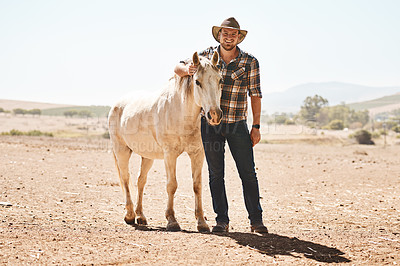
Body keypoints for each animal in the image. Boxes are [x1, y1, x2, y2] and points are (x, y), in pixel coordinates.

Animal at [108, 51, 223, 231]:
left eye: (220, 80)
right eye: (197, 81)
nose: (215, 115)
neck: (180, 113)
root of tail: (117, 104)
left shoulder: (197, 154)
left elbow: (197, 185)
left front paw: (201, 222)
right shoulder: (170, 155)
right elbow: (172, 185)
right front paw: (172, 220)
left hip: (147, 156)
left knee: (141, 181)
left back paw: (140, 216)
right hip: (122, 151)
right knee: (126, 179)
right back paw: (130, 215)